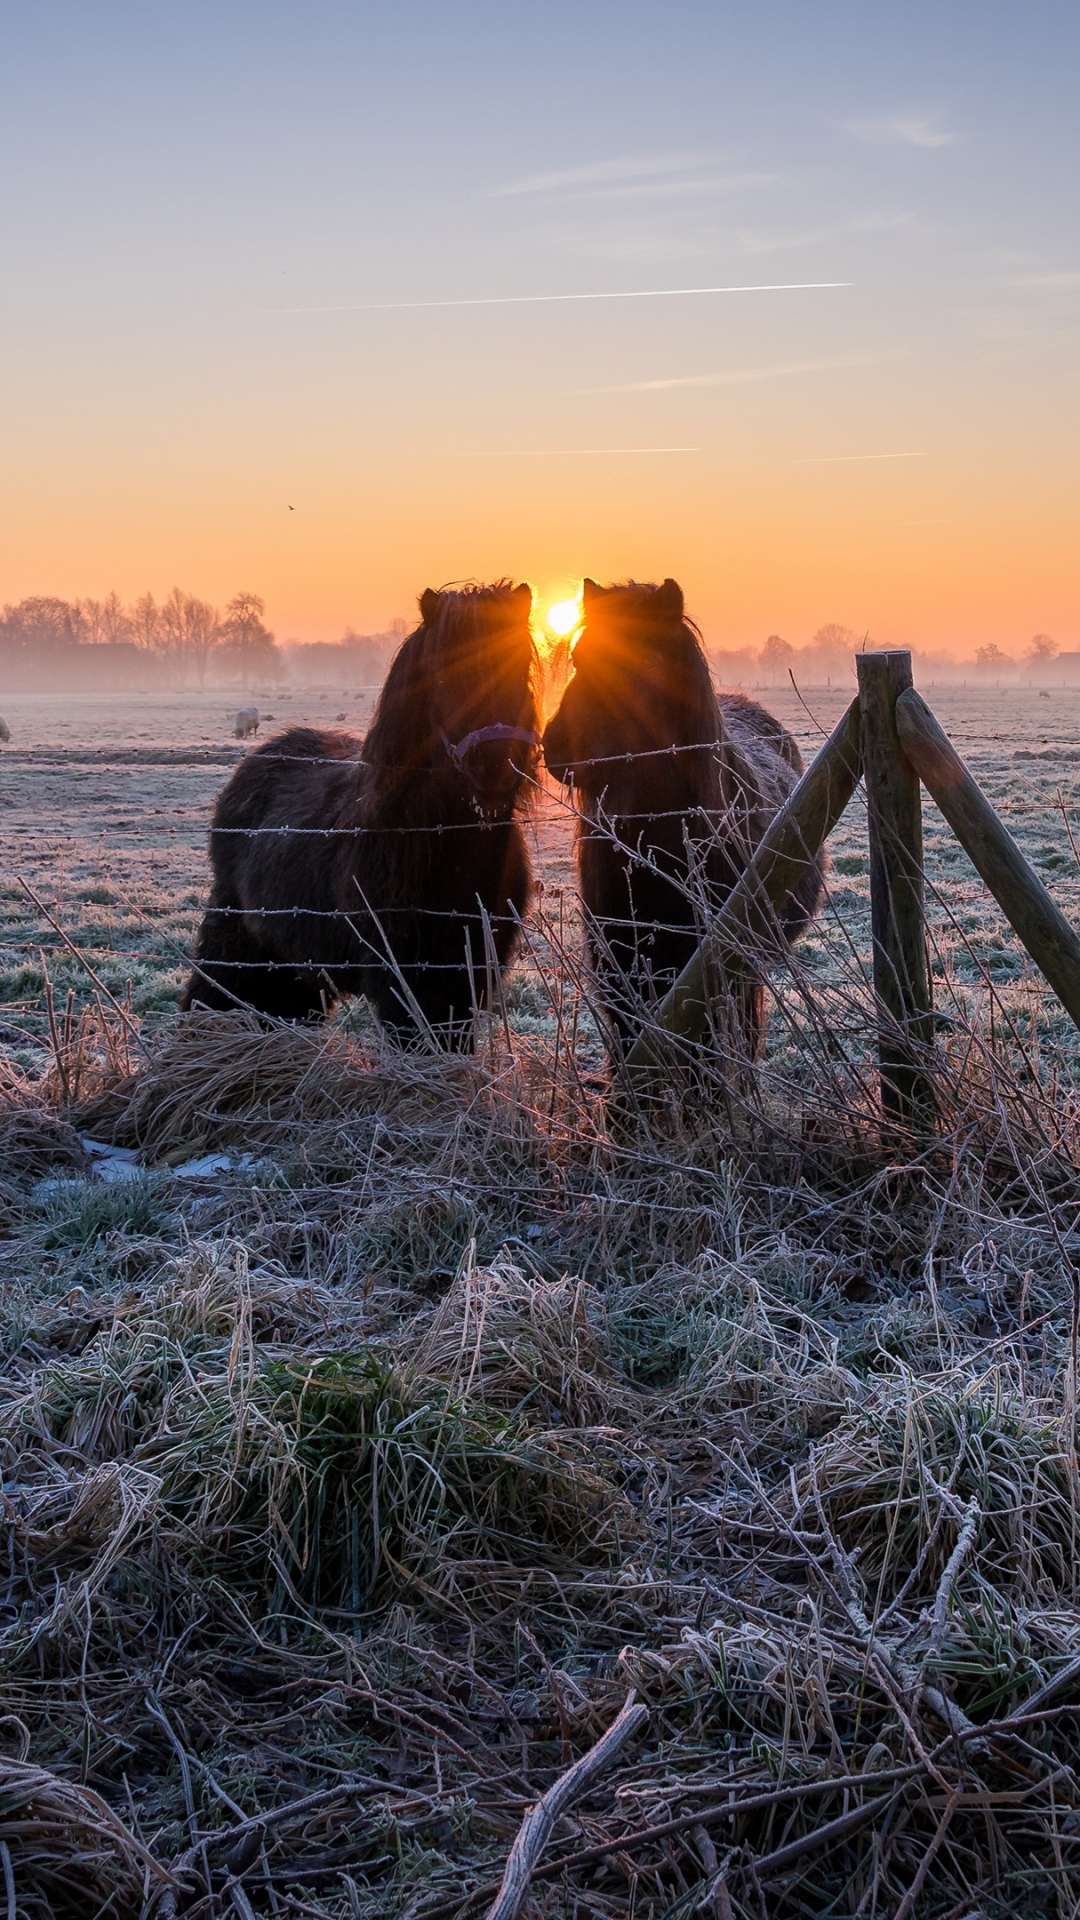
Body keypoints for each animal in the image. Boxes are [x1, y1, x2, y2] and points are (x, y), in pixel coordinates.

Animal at [182, 579, 545, 1044]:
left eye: (520, 669)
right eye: (443, 674)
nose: (495, 766)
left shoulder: (466, 973)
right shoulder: (404, 979)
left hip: (295, 963)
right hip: (238, 933)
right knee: (213, 989)